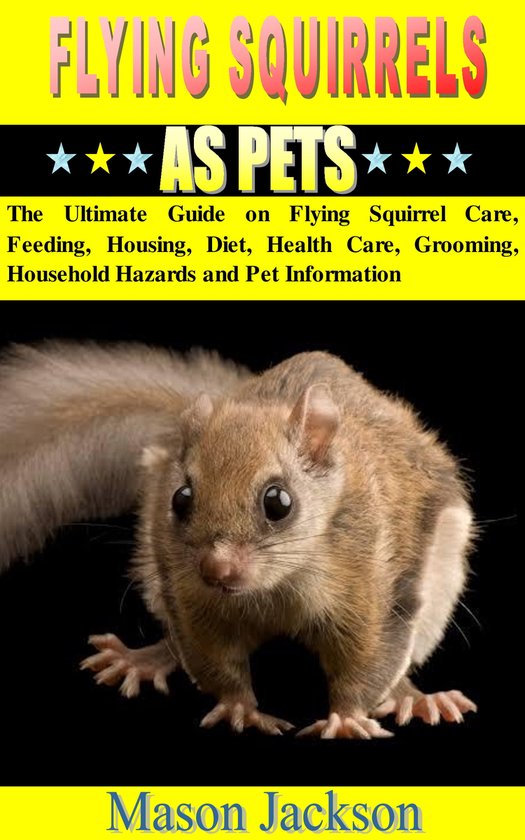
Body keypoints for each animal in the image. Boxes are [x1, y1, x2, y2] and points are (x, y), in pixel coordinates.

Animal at [0, 341, 477, 738]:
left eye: (278, 502)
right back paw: (144, 658)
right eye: (181, 497)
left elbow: (365, 663)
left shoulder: (372, 588)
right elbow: (214, 658)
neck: (278, 584)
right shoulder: (194, 601)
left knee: (399, 670)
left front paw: (344, 719)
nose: (216, 569)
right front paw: (240, 709)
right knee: (175, 642)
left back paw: (416, 698)